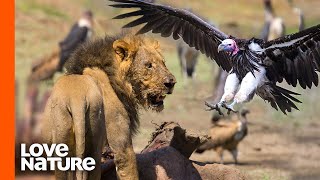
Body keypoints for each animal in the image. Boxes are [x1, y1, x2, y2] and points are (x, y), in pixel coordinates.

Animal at [41, 33, 176, 179]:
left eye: (164, 63)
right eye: (148, 65)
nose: (171, 82)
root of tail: (75, 98)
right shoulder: (121, 144)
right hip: (94, 144)